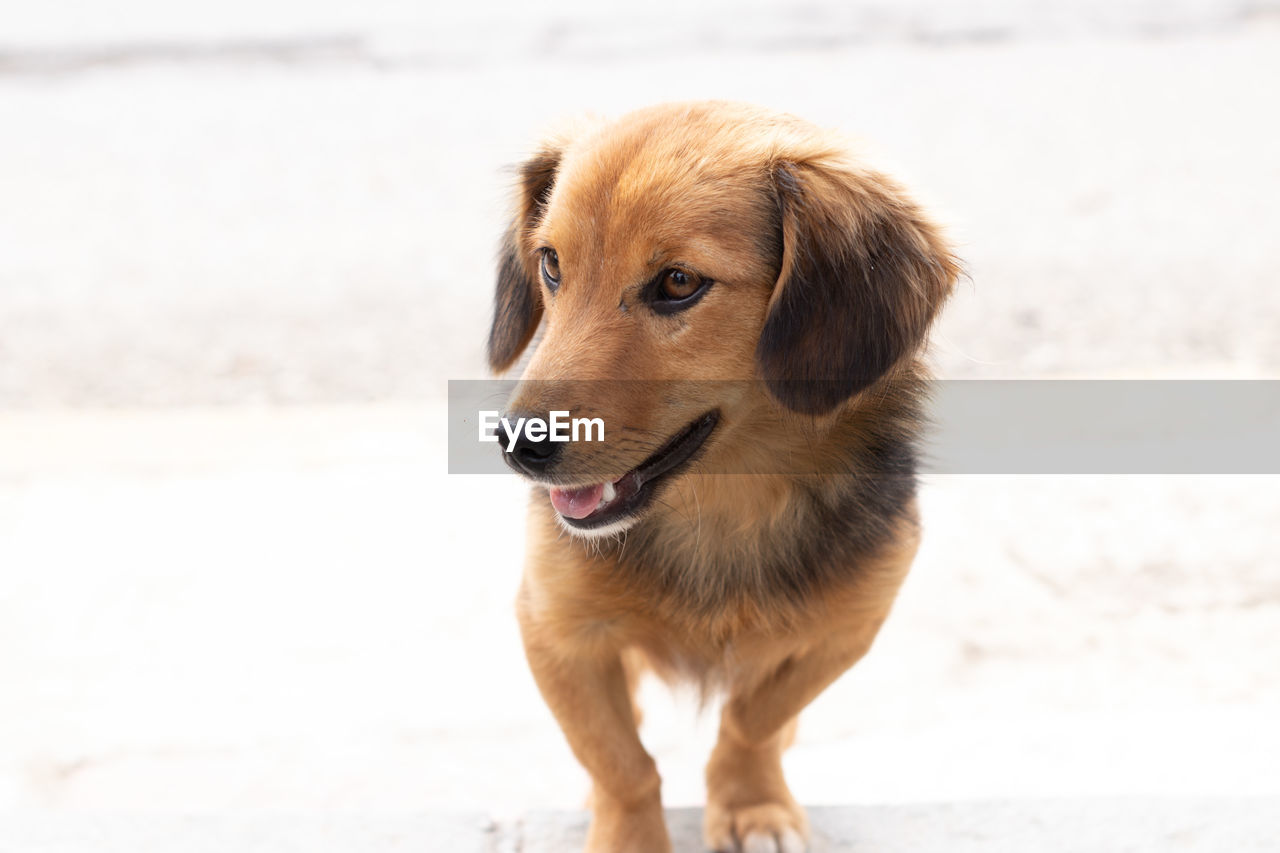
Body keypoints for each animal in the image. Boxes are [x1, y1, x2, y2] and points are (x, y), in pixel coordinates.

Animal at [483, 101, 957, 850]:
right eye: (550, 264)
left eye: (679, 283)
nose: (514, 443)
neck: (722, 506)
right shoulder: (556, 629)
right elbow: (618, 759)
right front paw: (628, 834)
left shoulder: (846, 629)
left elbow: (754, 720)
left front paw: (751, 803)